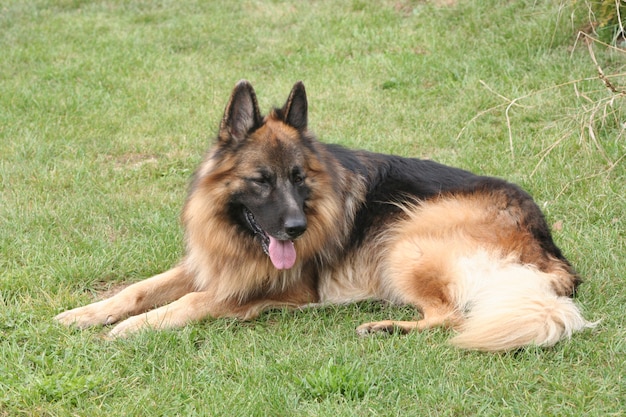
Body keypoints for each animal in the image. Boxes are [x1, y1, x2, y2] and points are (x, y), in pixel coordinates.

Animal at [53, 79, 588, 350]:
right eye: (261, 180)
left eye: (298, 178)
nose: (297, 228)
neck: (239, 235)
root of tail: (551, 252)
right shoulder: (214, 262)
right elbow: (137, 289)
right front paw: (86, 314)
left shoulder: (264, 287)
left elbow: (189, 303)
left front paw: (134, 328)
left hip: (405, 239)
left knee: (452, 316)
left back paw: (386, 328)